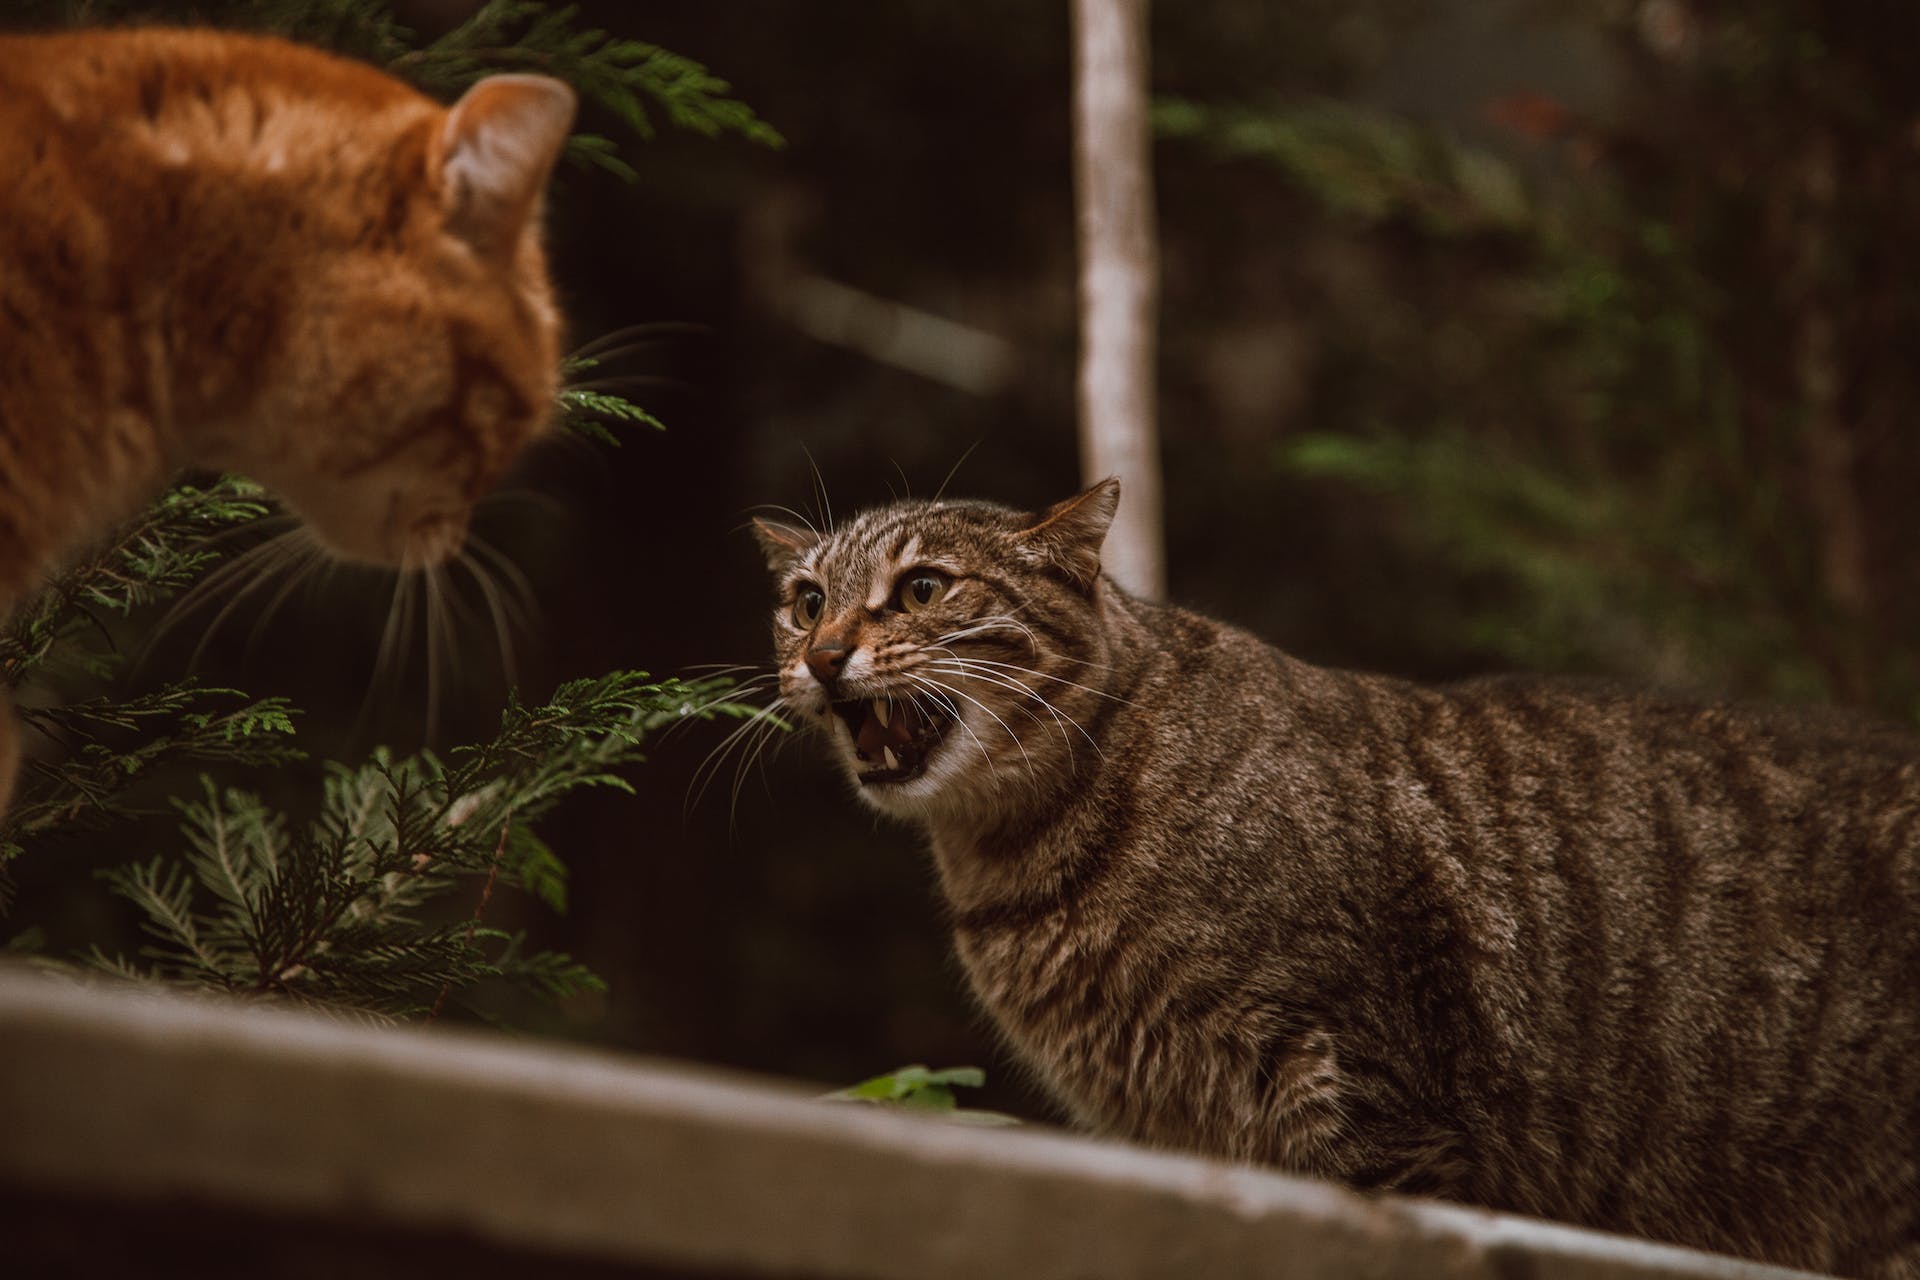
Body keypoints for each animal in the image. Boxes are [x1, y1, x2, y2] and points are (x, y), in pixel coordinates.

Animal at [756, 479, 1912, 1280]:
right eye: (804, 600)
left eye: (922, 588)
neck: (1019, 863)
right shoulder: (1173, 1142)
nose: (820, 654)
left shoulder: (1364, 1102)